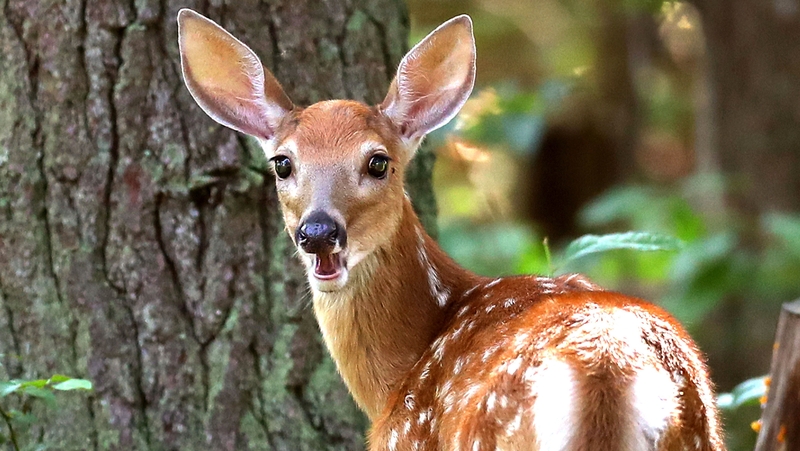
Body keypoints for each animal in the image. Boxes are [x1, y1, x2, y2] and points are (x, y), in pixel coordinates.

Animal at [177, 9, 725, 451]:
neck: (398, 376)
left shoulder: (409, 436)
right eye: (282, 164)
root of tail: (607, 374)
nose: (318, 232)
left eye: (378, 162)